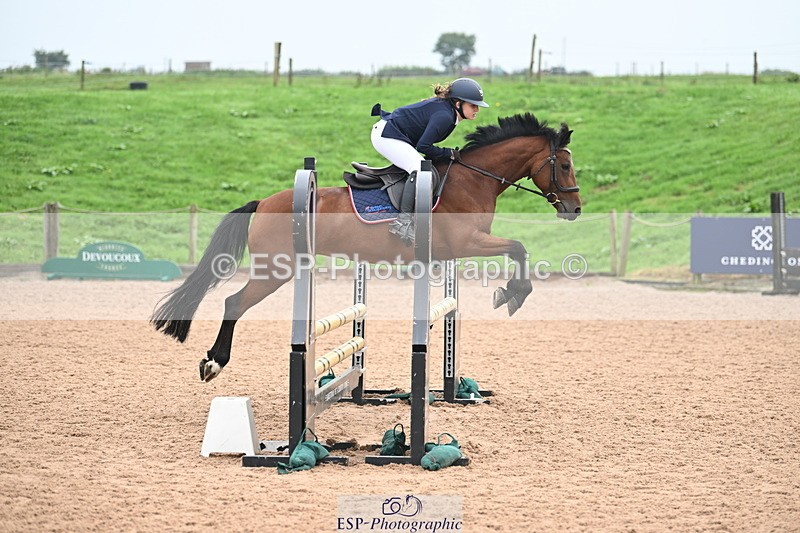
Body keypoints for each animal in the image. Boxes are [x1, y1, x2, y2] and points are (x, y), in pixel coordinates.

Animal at [151, 112, 582, 382]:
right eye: (563, 166)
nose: (575, 209)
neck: (473, 179)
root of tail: (264, 202)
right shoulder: (468, 242)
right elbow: (519, 248)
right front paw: (513, 294)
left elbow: (516, 251)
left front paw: (511, 292)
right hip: (275, 269)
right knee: (233, 303)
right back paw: (213, 363)